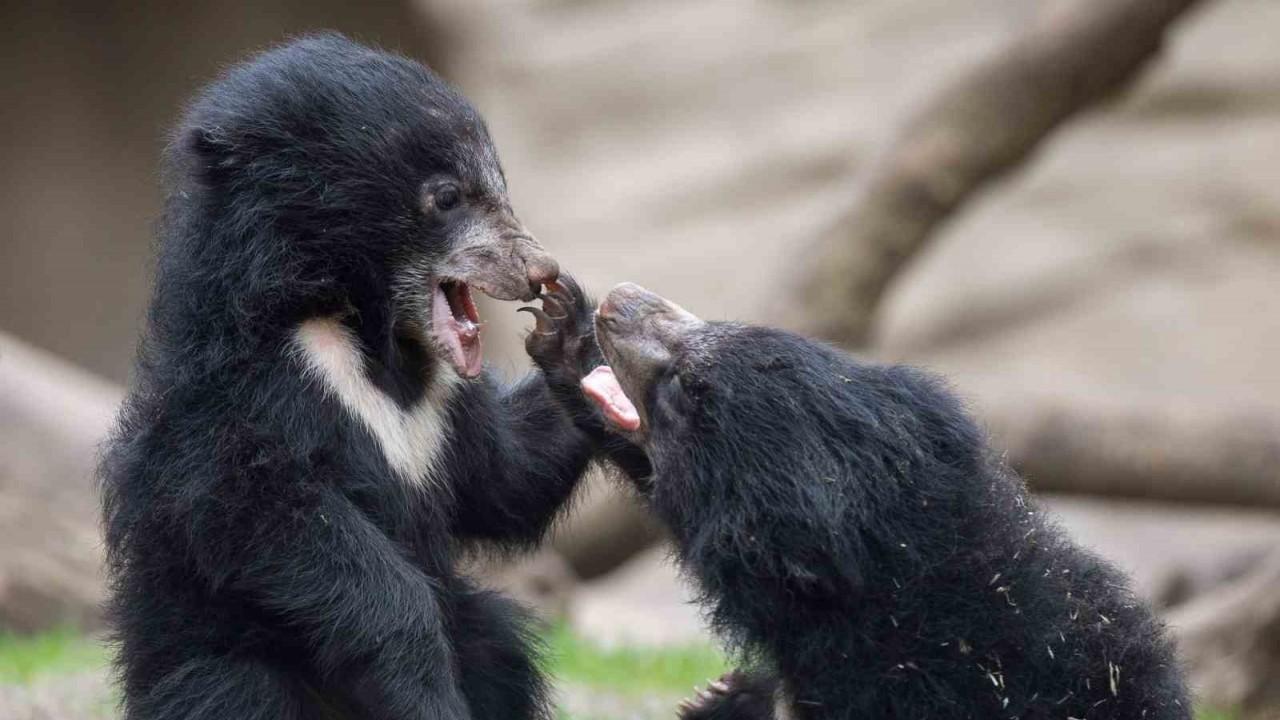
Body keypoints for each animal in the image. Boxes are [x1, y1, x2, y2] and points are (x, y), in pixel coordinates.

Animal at [97, 35, 601, 717]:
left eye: (499, 185)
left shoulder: (446, 404)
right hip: (209, 655)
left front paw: (571, 333)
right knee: (236, 691)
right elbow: (269, 513)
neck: (373, 337)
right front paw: (421, 689)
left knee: (499, 652)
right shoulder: (244, 394)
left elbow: (506, 477)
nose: (540, 271)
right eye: (448, 196)